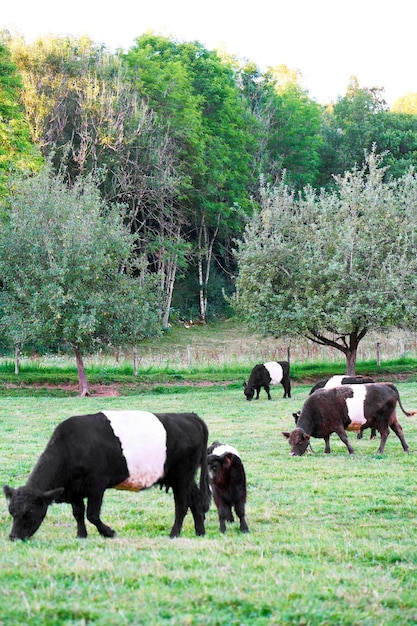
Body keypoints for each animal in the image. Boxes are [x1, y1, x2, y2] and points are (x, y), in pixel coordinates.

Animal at [2, 412, 211, 540]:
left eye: (29, 512)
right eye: (11, 512)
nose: (13, 537)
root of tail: (189, 416)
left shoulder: (96, 485)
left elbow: (92, 514)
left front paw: (109, 532)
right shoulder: (75, 489)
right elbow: (78, 513)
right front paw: (81, 535)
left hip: (182, 476)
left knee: (182, 504)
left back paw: (174, 534)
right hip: (183, 477)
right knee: (195, 499)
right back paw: (200, 531)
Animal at [282, 380, 412, 454]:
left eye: (299, 441)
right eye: (289, 442)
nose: (292, 454)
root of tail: (387, 384)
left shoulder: (337, 424)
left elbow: (343, 438)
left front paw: (351, 451)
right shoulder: (326, 426)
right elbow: (326, 439)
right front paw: (327, 451)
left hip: (382, 419)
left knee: (385, 433)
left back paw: (380, 451)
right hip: (392, 418)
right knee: (398, 430)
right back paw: (406, 448)